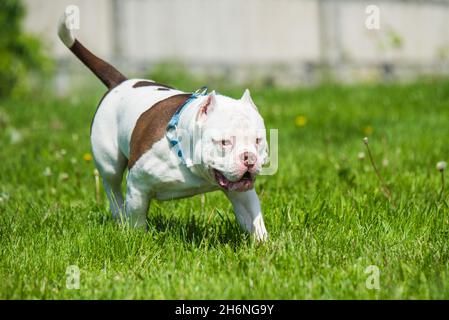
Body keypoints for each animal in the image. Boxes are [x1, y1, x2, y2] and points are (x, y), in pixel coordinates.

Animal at [55, 11, 266, 241]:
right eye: (224, 142)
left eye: (258, 140)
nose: (249, 158)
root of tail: (120, 82)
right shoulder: (138, 186)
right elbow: (137, 218)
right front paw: (137, 238)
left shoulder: (242, 193)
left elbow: (254, 218)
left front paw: (263, 244)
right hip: (109, 162)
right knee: (112, 188)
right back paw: (120, 217)